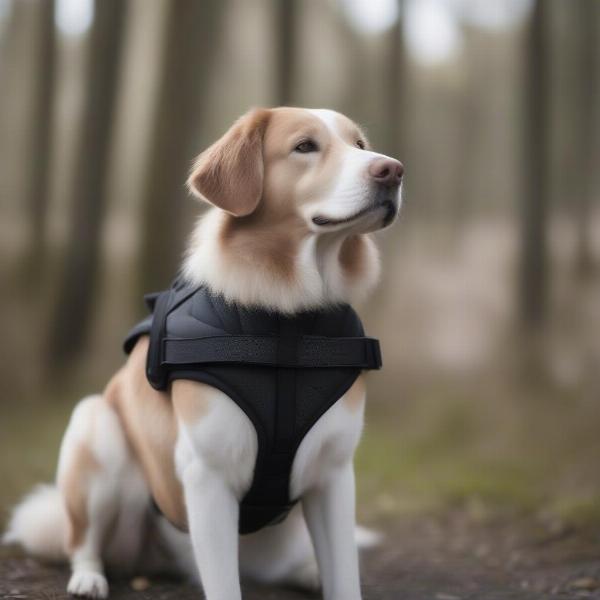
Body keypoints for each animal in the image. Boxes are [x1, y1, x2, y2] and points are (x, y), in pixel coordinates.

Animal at [4, 108, 404, 600]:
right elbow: (224, 585)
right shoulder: (208, 476)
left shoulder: (333, 475)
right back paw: (89, 578)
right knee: (81, 541)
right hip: (95, 428)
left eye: (360, 144)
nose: (393, 171)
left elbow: (344, 578)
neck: (288, 322)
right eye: (305, 146)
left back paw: (307, 571)